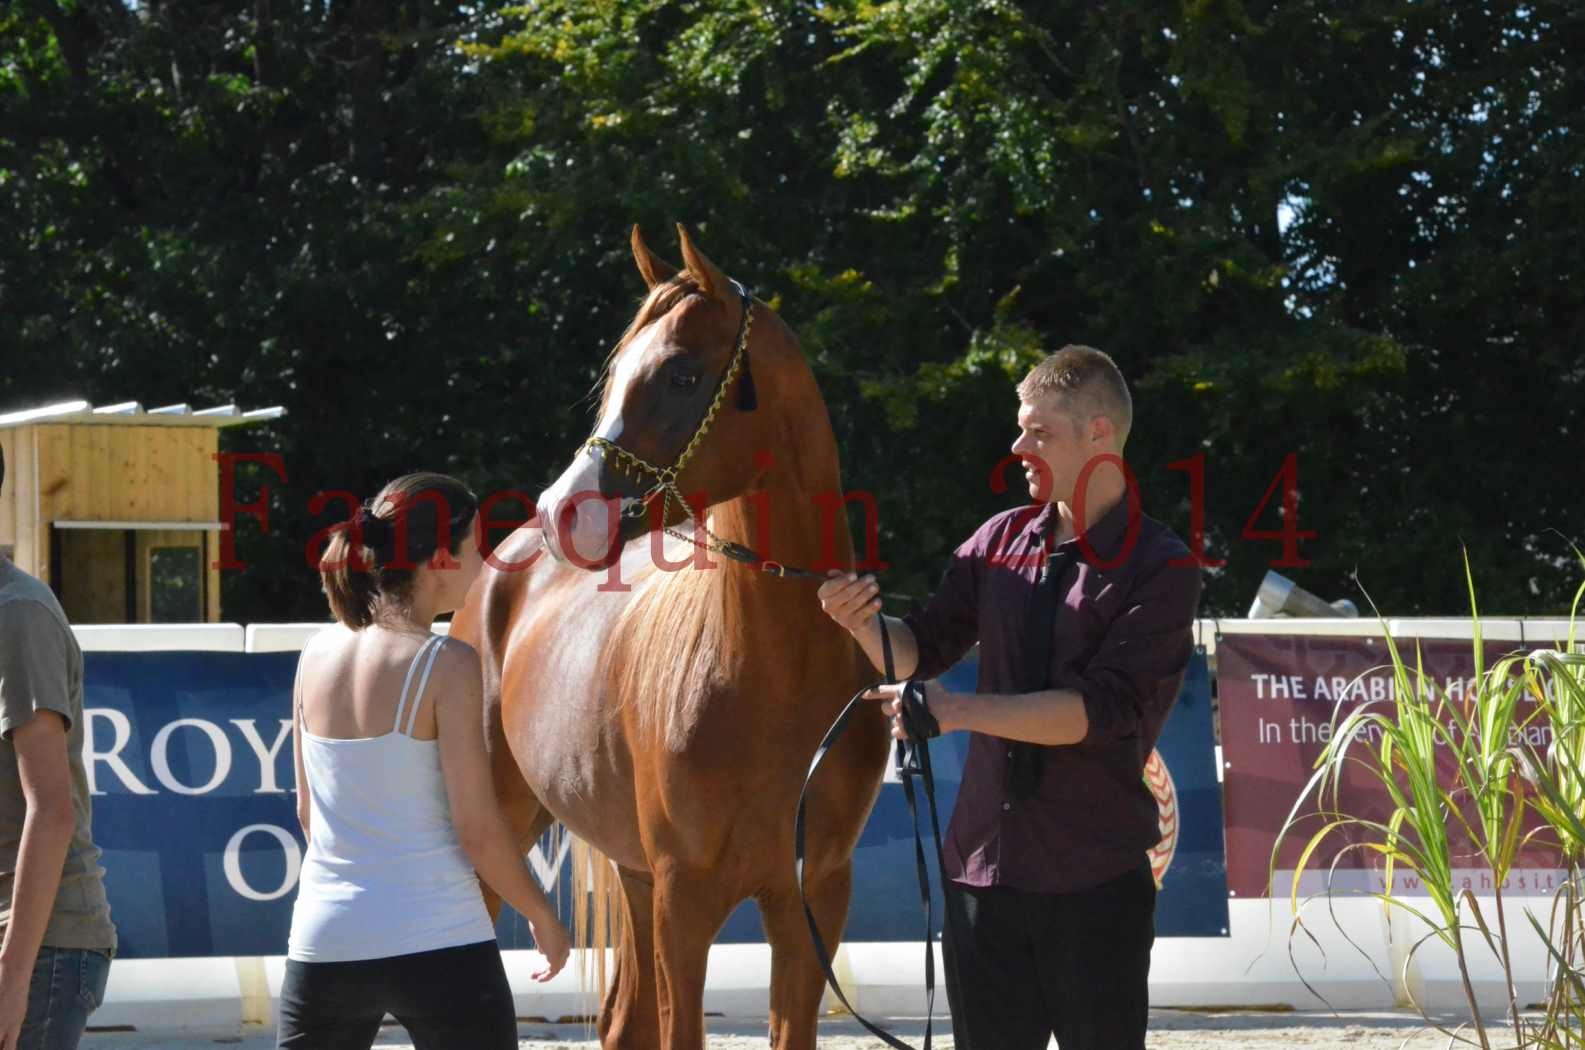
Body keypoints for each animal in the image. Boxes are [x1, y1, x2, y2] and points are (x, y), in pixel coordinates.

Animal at [446, 226, 893, 1046]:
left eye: (682, 374)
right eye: (615, 373)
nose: (562, 511)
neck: (773, 678)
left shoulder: (810, 904)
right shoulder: (684, 904)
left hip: (633, 875)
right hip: (505, 840)